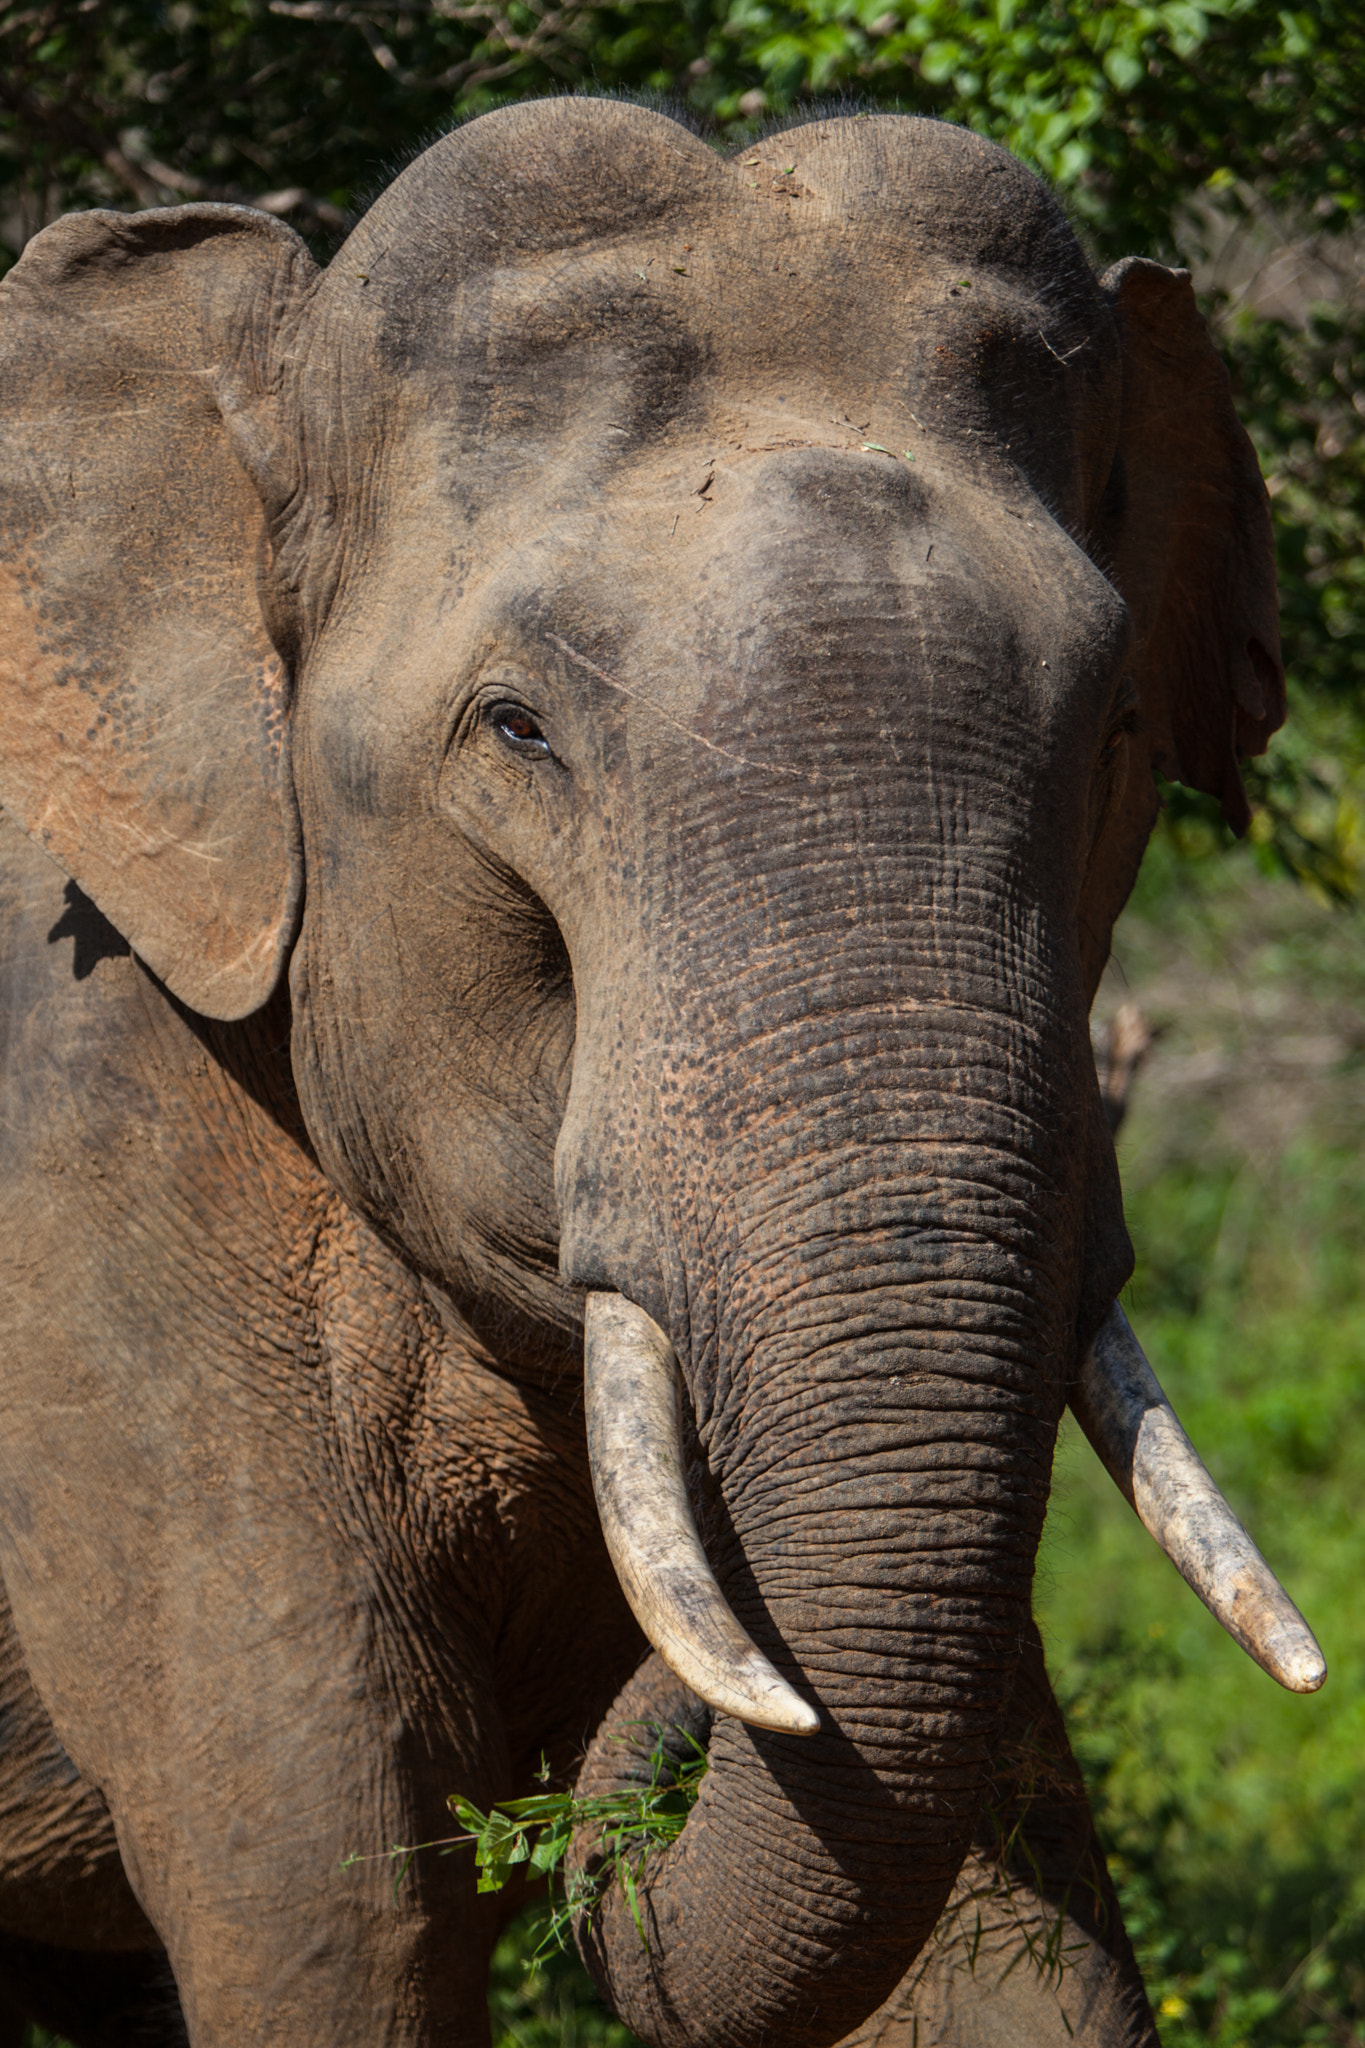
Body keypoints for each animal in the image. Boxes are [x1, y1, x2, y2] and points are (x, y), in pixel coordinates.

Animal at [0, 103, 1326, 2048]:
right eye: (517, 730)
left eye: (1116, 734)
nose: (669, 1721)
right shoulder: (93, 1226)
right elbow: (337, 1923)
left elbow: (1009, 1932)